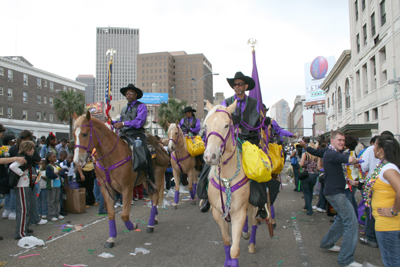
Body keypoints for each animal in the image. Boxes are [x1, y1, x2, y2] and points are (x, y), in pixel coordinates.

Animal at [73, 111, 169, 249]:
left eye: (85, 134)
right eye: (74, 135)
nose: (77, 161)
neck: (111, 157)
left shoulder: (127, 188)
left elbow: (124, 215)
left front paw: (133, 225)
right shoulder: (106, 189)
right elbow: (111, 213)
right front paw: (111, 238)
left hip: (157, 176)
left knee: (155, 198)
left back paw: (150, 224)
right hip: (147, 183)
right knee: (152, 198)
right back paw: (154, 218)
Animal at [203, 101, 262, 267]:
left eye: (226, 125)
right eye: (206, 126)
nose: (210, 156)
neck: (226, 179)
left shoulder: (238, 213)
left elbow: (235, 250)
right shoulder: (218, 213)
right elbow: (226, 240)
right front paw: (227, 261)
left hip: (254, 204)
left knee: (253, 220)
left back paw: (251, 243)